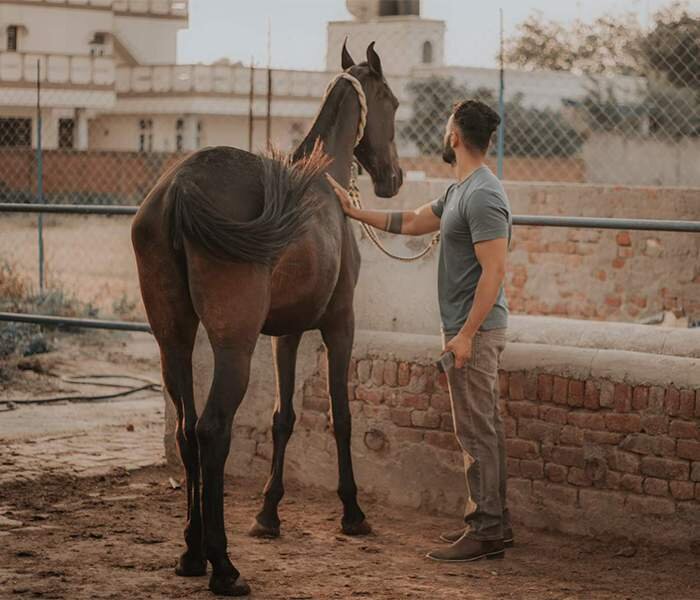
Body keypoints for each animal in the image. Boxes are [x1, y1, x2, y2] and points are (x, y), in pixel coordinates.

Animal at [132, 43, 402, 596]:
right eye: (393, 102)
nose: (394, 178)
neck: (323, 181)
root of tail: (180, 189)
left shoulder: (286, 334)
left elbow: (283, 417)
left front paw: (268, 514)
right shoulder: (339, 325)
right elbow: (341, 416)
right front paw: (352, 511)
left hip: (174, 342)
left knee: (186, 430)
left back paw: (191, 553)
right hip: (232, 347)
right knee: (212, 430)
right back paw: (223, 566)